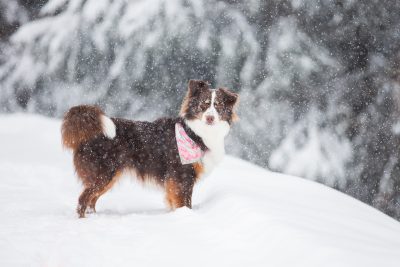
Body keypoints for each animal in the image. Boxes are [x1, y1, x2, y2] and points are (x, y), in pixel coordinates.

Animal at [61, 79, 239, 218]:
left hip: (108, 177)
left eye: (218, 106)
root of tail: (90, 133)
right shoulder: (182, 176)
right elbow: (185, 203)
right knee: (83, 199)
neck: (196, 133)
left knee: (91, 200)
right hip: (103, 174)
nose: (210, 118)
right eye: (203, 105)